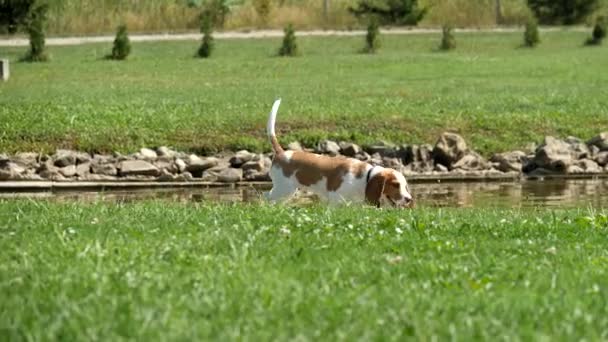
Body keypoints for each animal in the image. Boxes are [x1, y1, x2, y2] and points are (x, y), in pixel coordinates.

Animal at [266, 97, 414, 207]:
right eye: (395, 185)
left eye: (404, 185)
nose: (409, 199)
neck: (365, 178)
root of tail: (281, 152)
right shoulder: (335, 200)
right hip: (284, 189)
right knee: (266, 197)